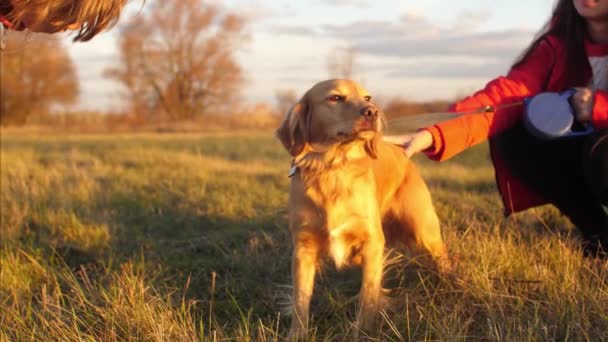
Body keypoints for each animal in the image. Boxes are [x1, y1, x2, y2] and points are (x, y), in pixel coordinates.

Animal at [276, 79, 452, 338]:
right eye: (335, 98)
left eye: (367, 97)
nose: (373, 111)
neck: (334, 168)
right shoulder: (303, 247)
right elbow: (301, 298)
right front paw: (297, 335)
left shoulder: (372, 242)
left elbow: (367, 296)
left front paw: (362, 332)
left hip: (424, 228)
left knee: (442, 256)